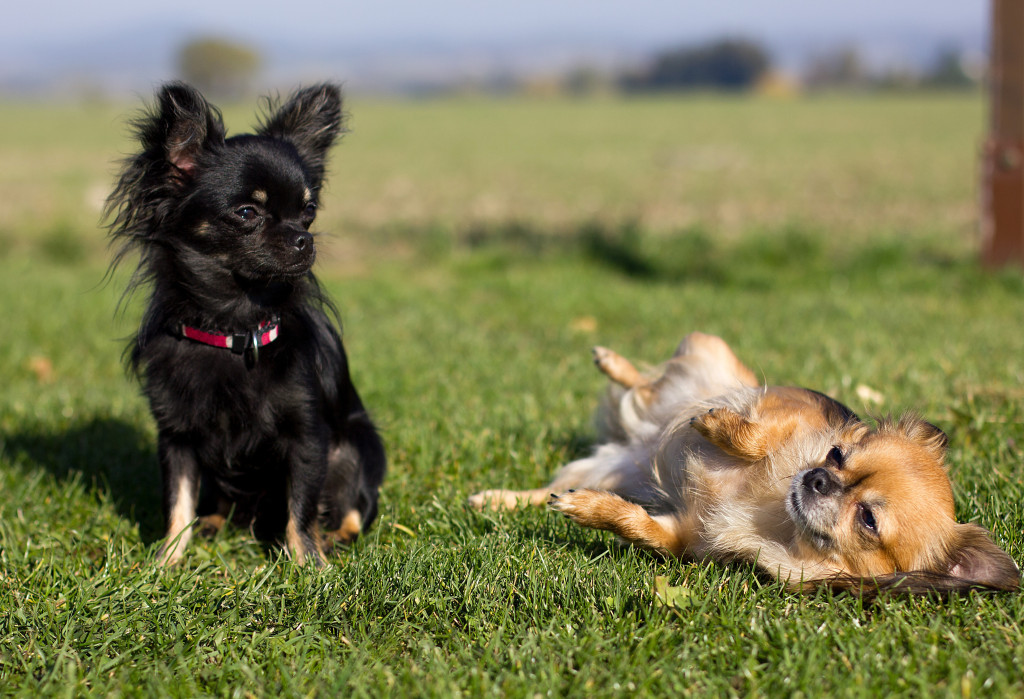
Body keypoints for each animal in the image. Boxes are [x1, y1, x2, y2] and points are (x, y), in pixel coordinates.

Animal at [468, 331, 1015, 593]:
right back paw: (616, 365)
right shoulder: (786, 411)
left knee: (547, 490)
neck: (771, 512)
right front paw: (713, 425)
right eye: (836, 454)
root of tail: (636, 442)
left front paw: (588, 510)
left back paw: (497, 500)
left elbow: (636, 524)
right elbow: (756, 434)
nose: (816, 477)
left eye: (868, 519)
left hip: (608, 470)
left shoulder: (682, 536)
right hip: (709, 355)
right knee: (648, 382)